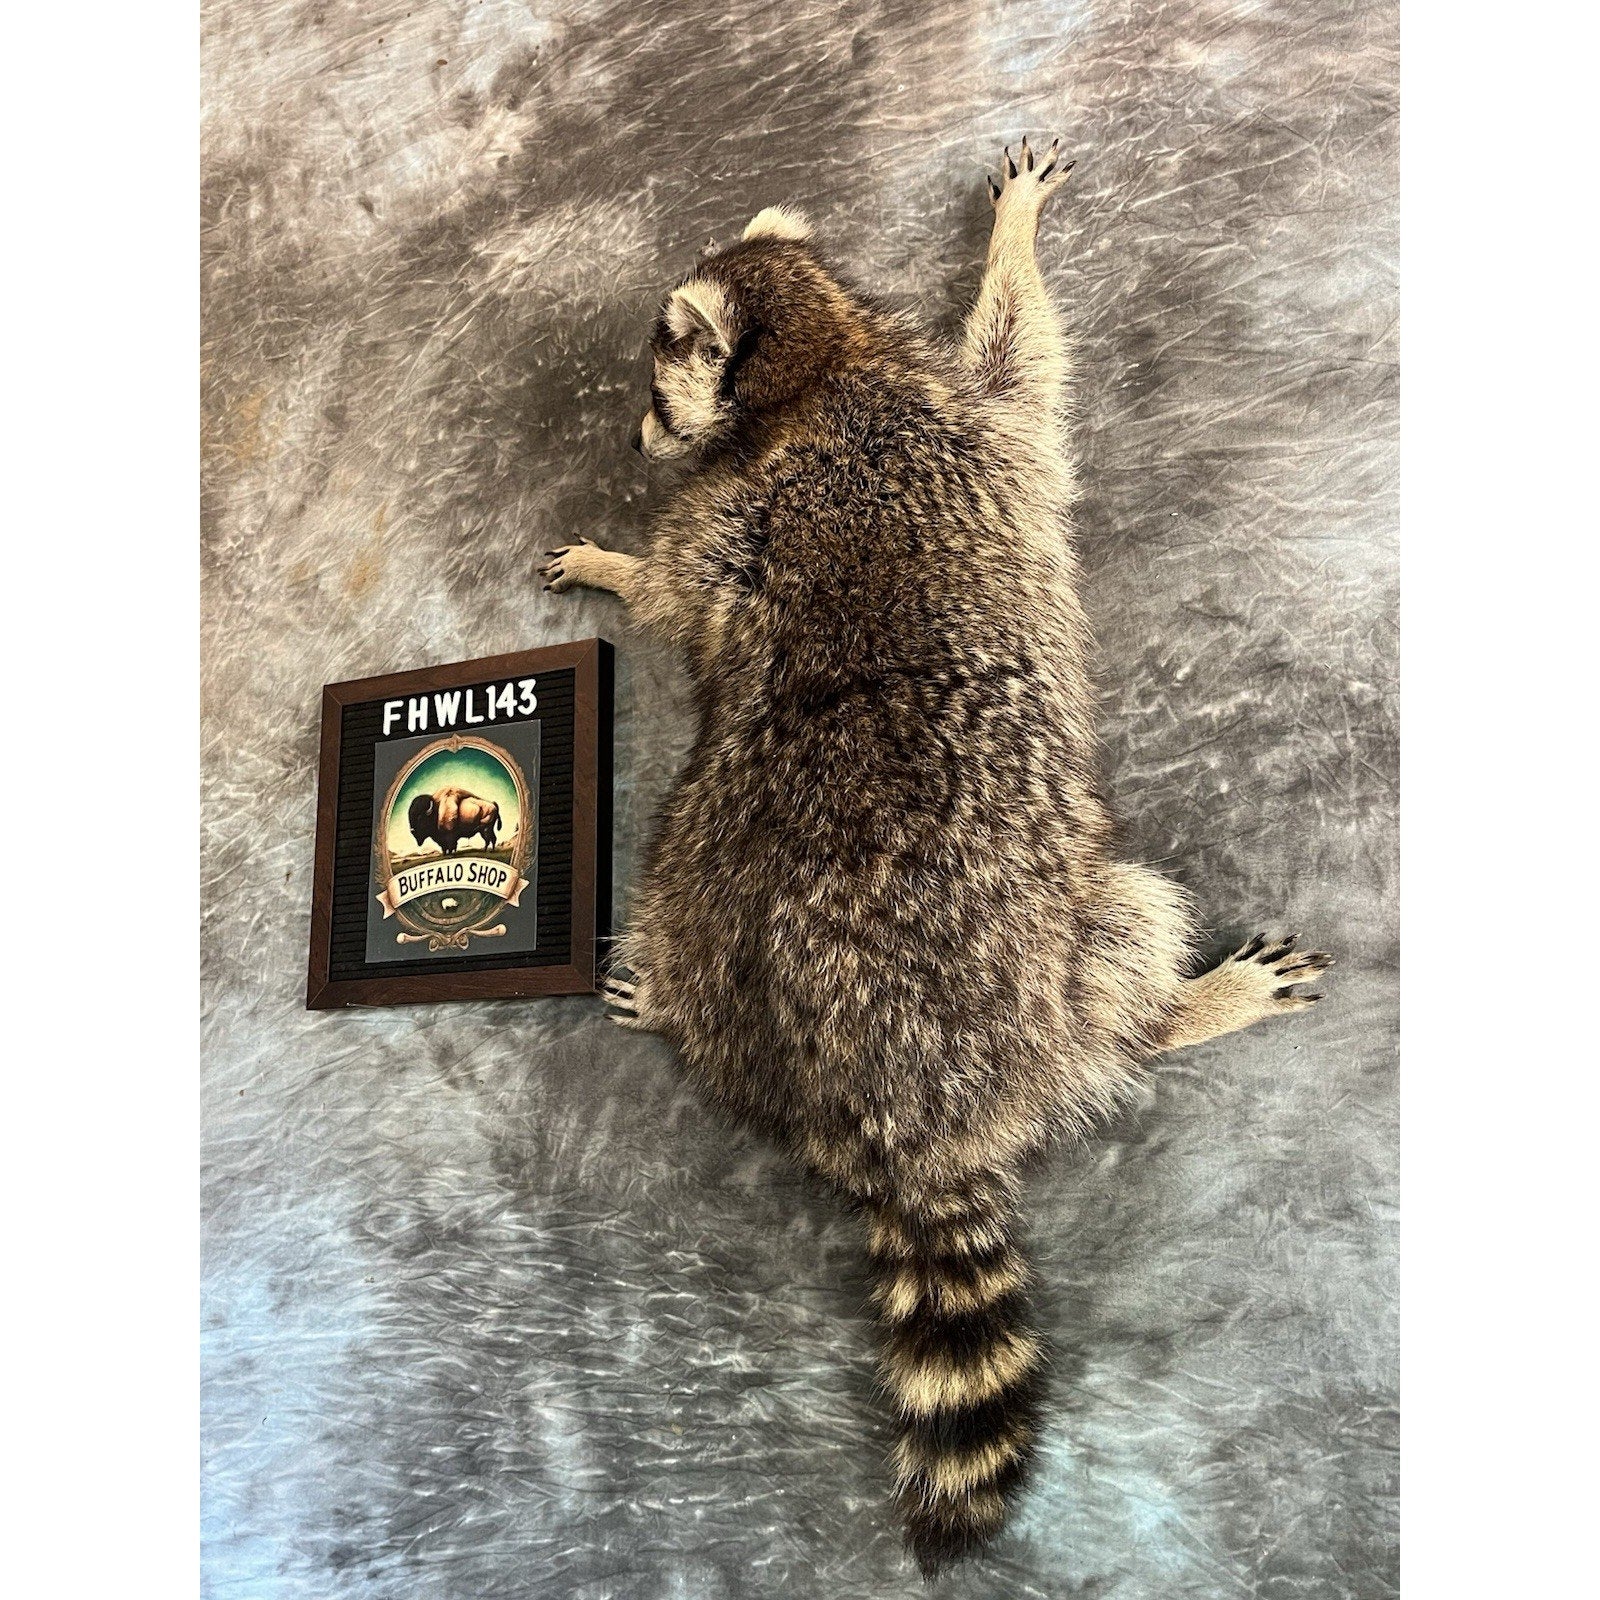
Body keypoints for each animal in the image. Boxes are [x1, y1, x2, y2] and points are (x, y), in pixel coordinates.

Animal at [540, 139, 1332, 1574]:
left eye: (649, 385)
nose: (633, 439)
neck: (822, 365)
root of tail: (896, 1112)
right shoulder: (931, 434)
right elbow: (1021, 369)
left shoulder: (870, 441)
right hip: (1029, 958)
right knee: (1123, 936)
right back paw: (1178, 1008)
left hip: (697, 872)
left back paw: (673, 995)